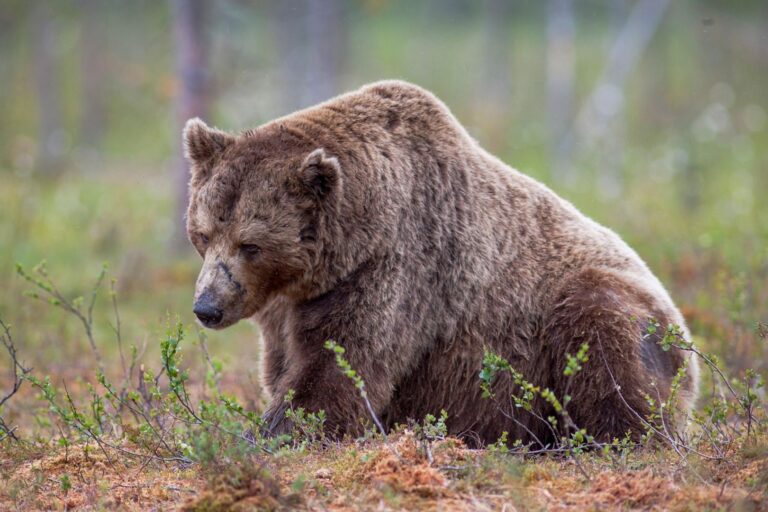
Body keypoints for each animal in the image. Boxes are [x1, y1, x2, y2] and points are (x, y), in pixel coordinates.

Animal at [183, 80, 698, 447]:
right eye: (203, 234)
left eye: (250, 244)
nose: (207, 308)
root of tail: (688, 334)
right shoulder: (285, 304)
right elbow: (288, 360)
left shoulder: (394, 267)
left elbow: (340, 366)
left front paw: (268, 432)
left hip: (609, 315)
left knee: (605, 345)